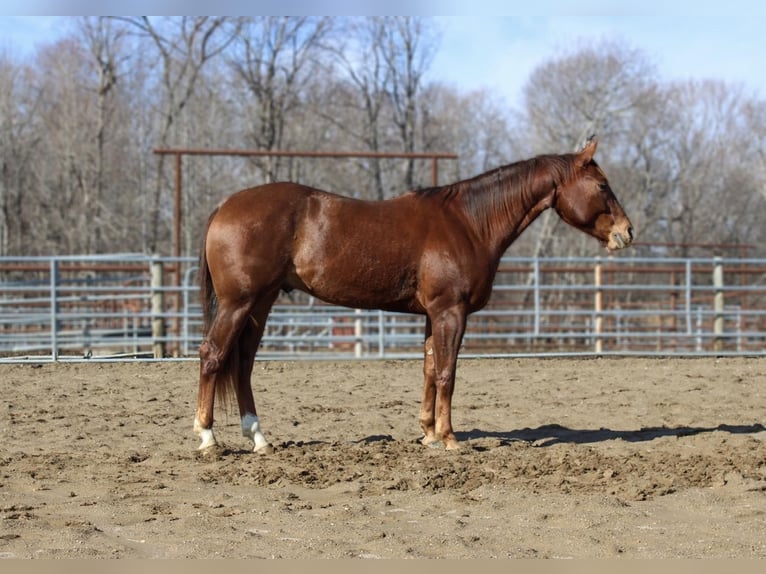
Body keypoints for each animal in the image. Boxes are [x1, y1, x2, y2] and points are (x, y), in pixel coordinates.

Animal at [195, 138, 632, 454]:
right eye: (603, 186)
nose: (627, 232)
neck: (469, 222)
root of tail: (224, 206)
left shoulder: (431, 315)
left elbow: (428, 369)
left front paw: (428, 433)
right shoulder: (450, 312)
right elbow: (447, 373)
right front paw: (450, 439)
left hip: (260, 303)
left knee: (243, 364)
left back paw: (258, 439)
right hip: (239, 303)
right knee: (213, 355)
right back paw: (207, 438)